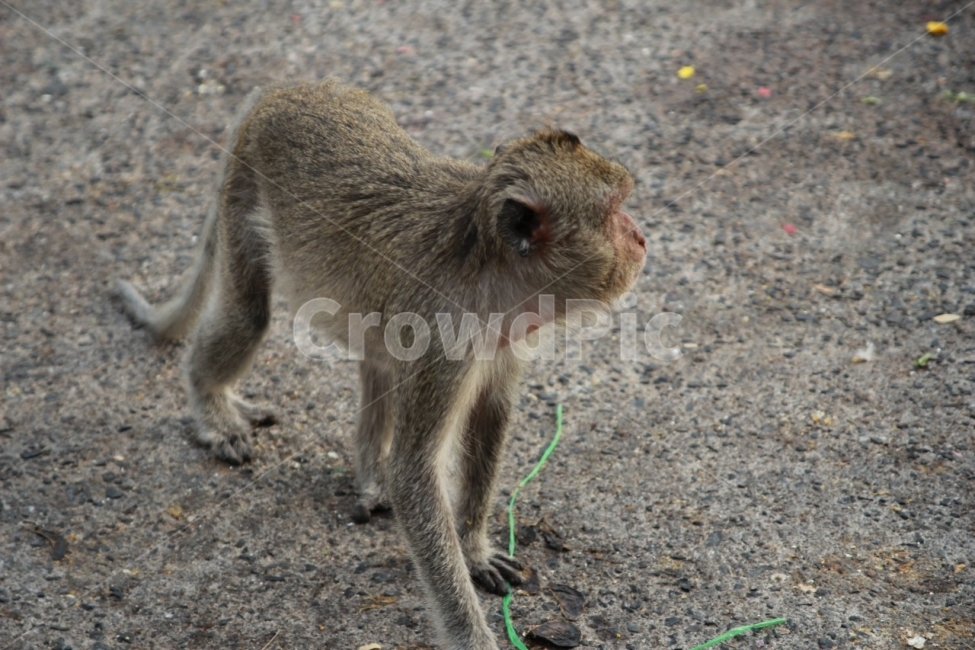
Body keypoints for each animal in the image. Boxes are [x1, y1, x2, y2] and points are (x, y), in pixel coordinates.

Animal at [116, 80, 646, 650]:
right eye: (614, 211)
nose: (640, 238)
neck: (489, 267)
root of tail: (290, 87)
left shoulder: (504, 336)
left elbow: (489, 416)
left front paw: (474, 547)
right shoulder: (444, 337)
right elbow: (414, 474)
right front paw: (472, 635)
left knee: (379, 358)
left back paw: (368, 470)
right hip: (245, 185)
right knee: (250, 312)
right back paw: (211, 405)